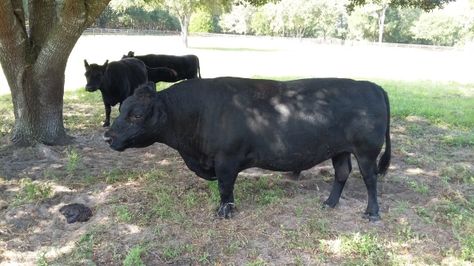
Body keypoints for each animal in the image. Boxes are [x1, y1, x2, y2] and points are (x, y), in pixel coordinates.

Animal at [105, 77, 390, 220]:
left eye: (137, 114)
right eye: (121, 108)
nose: (108, 136)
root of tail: (372, 86)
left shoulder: (226, 160)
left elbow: (225, 187)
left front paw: (224, 212)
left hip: (366, 151)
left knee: (370, 178)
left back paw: (371, 213)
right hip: (339, 150)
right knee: (342, 173)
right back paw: (329, 204)